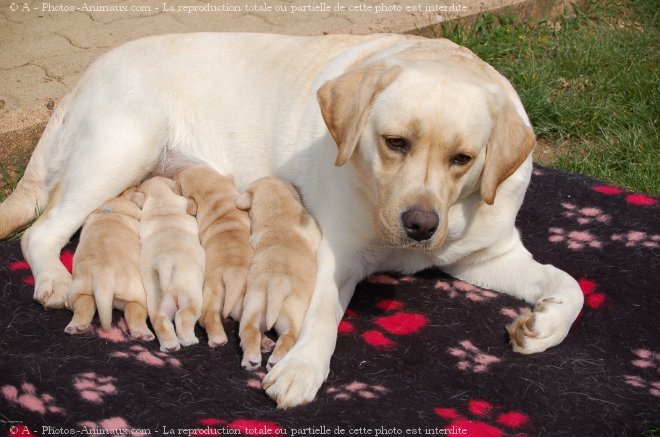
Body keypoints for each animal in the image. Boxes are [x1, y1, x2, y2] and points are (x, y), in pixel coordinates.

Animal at [66, 186, 155, 338]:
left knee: (83, 306)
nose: (137, 186)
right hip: (136, 294)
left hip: (80, 289)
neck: (112, 211)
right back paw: (142, 332)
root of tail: (103, 275)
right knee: (135, 311)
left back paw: (76, 327)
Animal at [133, 175, 204, 350]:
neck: (161, 201)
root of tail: (166, 263)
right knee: (183, 316)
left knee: (161, 322)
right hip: (190, 296)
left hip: (158, 304)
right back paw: (189, 340)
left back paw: (170, 346)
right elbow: (191, 206)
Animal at [175, 165, 253, 346]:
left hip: (223, 293)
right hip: (229, 297)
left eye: (179, 182)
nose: (175, 171)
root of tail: (233, 275)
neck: (216, 198)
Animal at [237, 175, 322, 370]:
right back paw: (275, 361)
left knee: (249, 331)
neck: (278, 207)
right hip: (292, 313)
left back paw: (251, 360)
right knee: (289, 337)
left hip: (255, 306)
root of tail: (277, 284)